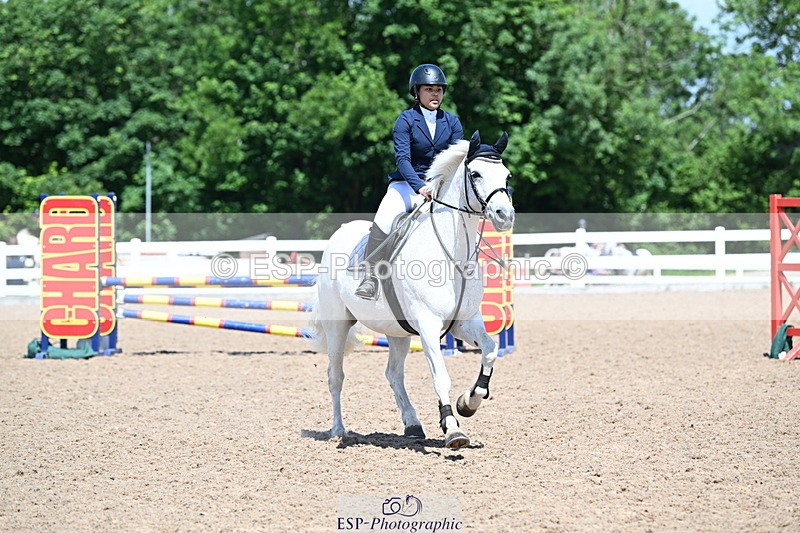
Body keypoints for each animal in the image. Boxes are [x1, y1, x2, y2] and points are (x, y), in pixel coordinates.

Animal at [307, 131, 515, 449]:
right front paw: (453, 430)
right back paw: (338, 430)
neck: (452, 255)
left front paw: (468, 402)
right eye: (476, 174)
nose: (505, 215)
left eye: (507, 175)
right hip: (338, 325)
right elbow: (441, 376)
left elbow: (490, 350)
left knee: (393, 374)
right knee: (336, 376)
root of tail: (337, 234)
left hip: (397, 331)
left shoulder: (464, 323)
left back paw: (413, 424)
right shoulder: (428, 325)